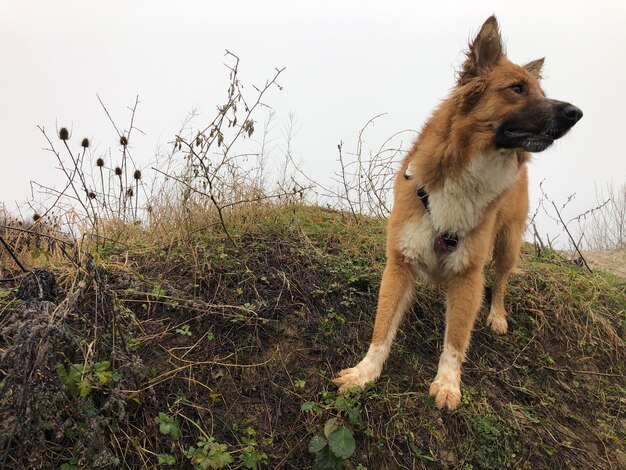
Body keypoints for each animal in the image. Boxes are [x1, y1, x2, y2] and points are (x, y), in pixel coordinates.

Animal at [334, 16, 584, 410]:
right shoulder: (400, 261)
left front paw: (448, 383)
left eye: (541, 93)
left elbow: (455, 338)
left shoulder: (469, 275)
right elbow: (382, 326)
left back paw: (497, 315)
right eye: (517, 89)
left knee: (501, 279)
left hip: (508, 241)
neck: (469, 170)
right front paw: (365, 372)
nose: (576, 113)